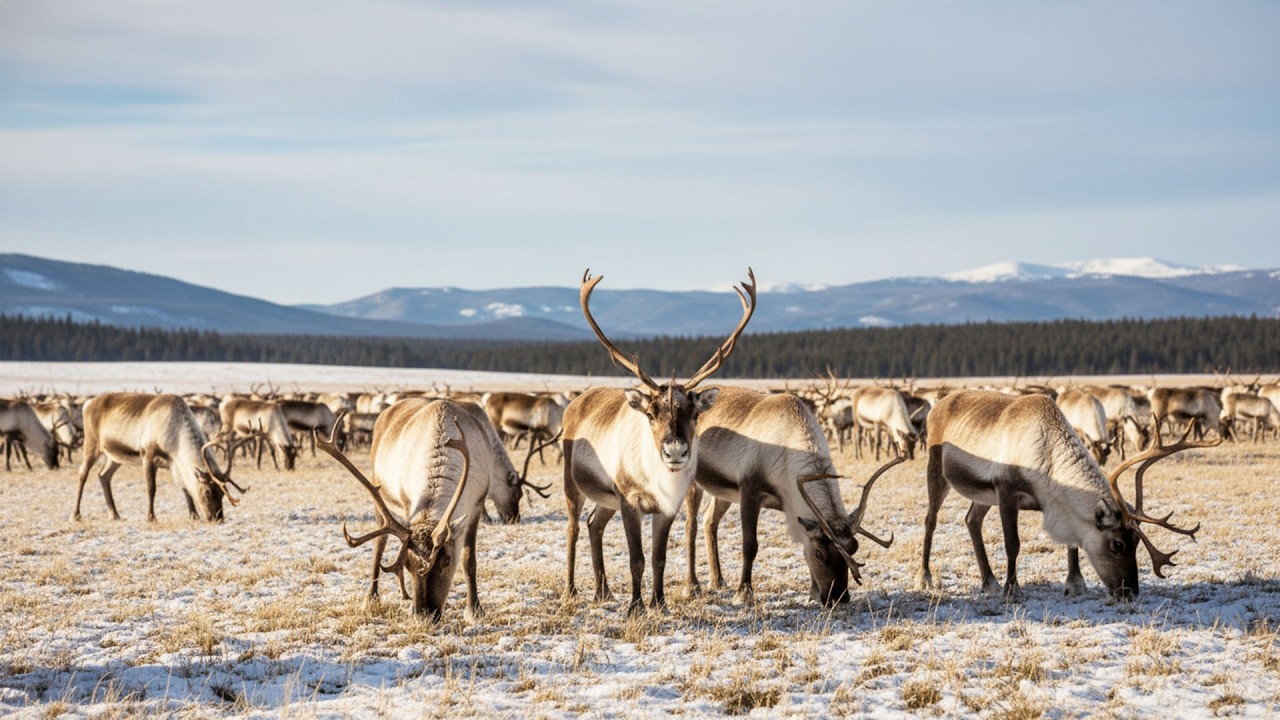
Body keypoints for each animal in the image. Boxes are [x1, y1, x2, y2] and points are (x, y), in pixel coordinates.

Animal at [72, 392, 248, 522]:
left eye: (222, 493)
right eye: (207, 491)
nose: (217, 518)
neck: (176, 437)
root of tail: (87, 404)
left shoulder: (175, 464)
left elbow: (185, 487)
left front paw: (193, 516)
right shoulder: (147, 455)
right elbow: (152, 488)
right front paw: (151, 517)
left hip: (114, 456)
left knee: (103, 475)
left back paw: (114, 514)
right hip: (91, 444)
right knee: (82, 475)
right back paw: (76, 514)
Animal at [315, 399, 528, 620]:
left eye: (447, 560)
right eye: (407, 564)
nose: (424, 614)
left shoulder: (476, 504)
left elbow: (469, 561)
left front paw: (474, 610)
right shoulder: (407, 502)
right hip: (378, 493)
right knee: (379, 545)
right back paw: (371, 598)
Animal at [562, 267, 756, 615]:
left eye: (694, 413)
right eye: (652, 413)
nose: (675, 450)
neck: (657, 480)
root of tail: (576, 402)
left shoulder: (667, 507)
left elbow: (659, 559)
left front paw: (660, 603)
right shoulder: (629, 500)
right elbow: (636, 559)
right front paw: (636, 607)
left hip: (606, 498)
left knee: (594, 524)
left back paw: (603, 591)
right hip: (573, 486)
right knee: (573, 528)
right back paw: (571, 591)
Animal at [682, 386, 898, 606]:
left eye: (854, 547)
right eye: (819, 554)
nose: (839, 597)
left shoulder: (791, 506)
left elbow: (803, 541)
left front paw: (813, 593)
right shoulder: (749, 490)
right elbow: (750, 545)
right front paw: (744, 593)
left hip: (723, 491)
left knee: (709, 520)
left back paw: (717, 580)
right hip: (691, 480)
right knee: (691, 526)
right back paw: (692, 586)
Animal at [918, 389, 1211, 601]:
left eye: (1137, 541)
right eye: (1117, 544)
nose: (1130, 592)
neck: (1046, 457)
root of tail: (938, 405)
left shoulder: (1053, 505)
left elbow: (1073, 544)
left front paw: (1075, 583)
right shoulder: (1006, 492)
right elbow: (1013, 544)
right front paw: (1012, 590)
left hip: (982, 494)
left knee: (971, 520)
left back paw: (989, 582)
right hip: (937, 470)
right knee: (931, 520)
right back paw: (926, 577)